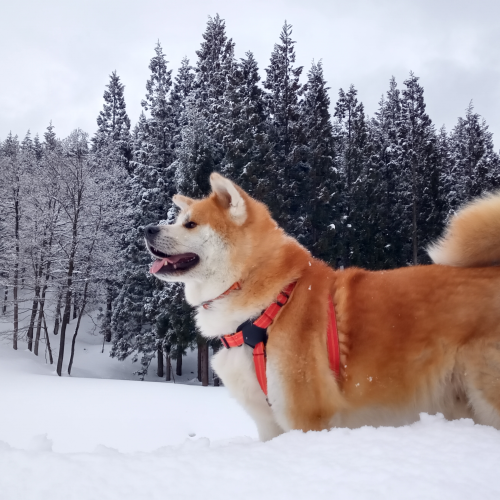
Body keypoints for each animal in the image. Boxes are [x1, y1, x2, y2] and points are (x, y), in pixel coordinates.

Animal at [144, 173, 500, 441]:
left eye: (190, 224)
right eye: (178, 219)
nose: (147, 228)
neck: (271, 304)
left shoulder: (306, 417)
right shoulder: (269, 423)